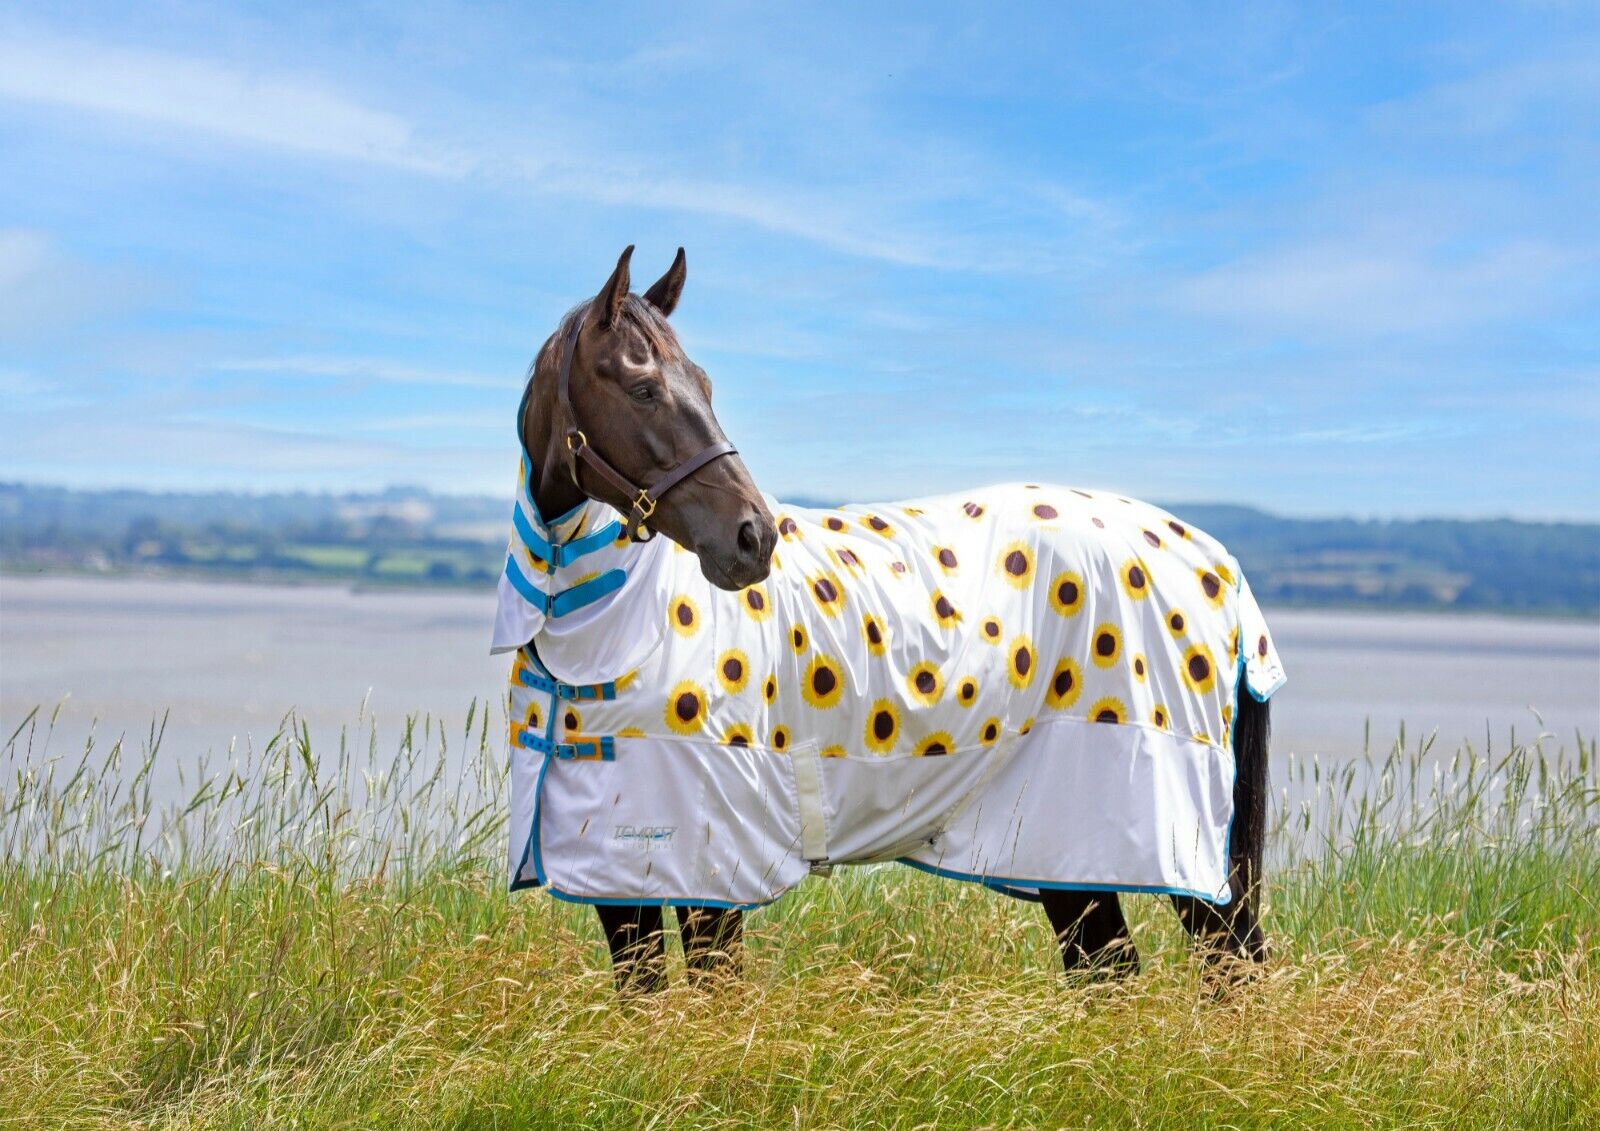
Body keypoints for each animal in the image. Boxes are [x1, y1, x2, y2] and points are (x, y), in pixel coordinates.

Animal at [493, 247, 1284, 992]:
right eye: (643, 388)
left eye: (706, 386)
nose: (753, 538)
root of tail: (1218, 562)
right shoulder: (613, 876)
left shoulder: (704, 871)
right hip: (1067, 854)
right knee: (1113, 970)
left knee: (1221, 962)